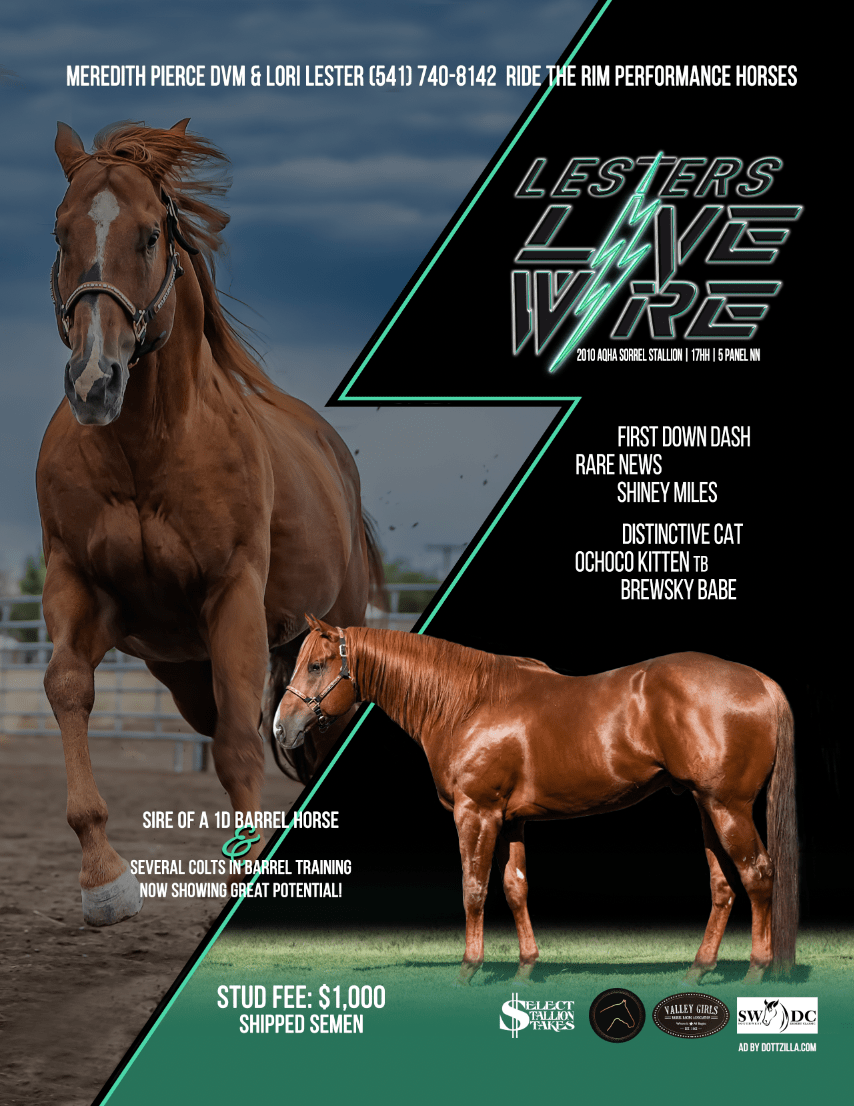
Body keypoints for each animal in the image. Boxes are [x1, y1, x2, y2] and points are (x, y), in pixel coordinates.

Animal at [39, 121, 382, 927]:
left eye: (149, 236)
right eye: (61, 232)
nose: (94, 382)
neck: (148, 450)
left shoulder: (233, 599)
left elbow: (235, 746)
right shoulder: (79, 584)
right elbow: (68, 687)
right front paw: (104, 879)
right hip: (181, 667)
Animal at [274, 617, 798, 985]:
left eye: (316, 665)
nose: (281, 728)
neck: (470, 703)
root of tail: (761, 682)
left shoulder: (476, 813)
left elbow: (473, 889)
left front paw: (468, 969)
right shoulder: (511, 821)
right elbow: (515, 887)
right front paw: (526, 967)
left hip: (727, 807)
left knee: (757, 875)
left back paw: (756, 971)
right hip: (707, 807)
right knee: (724, 885)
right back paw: (699, 969)